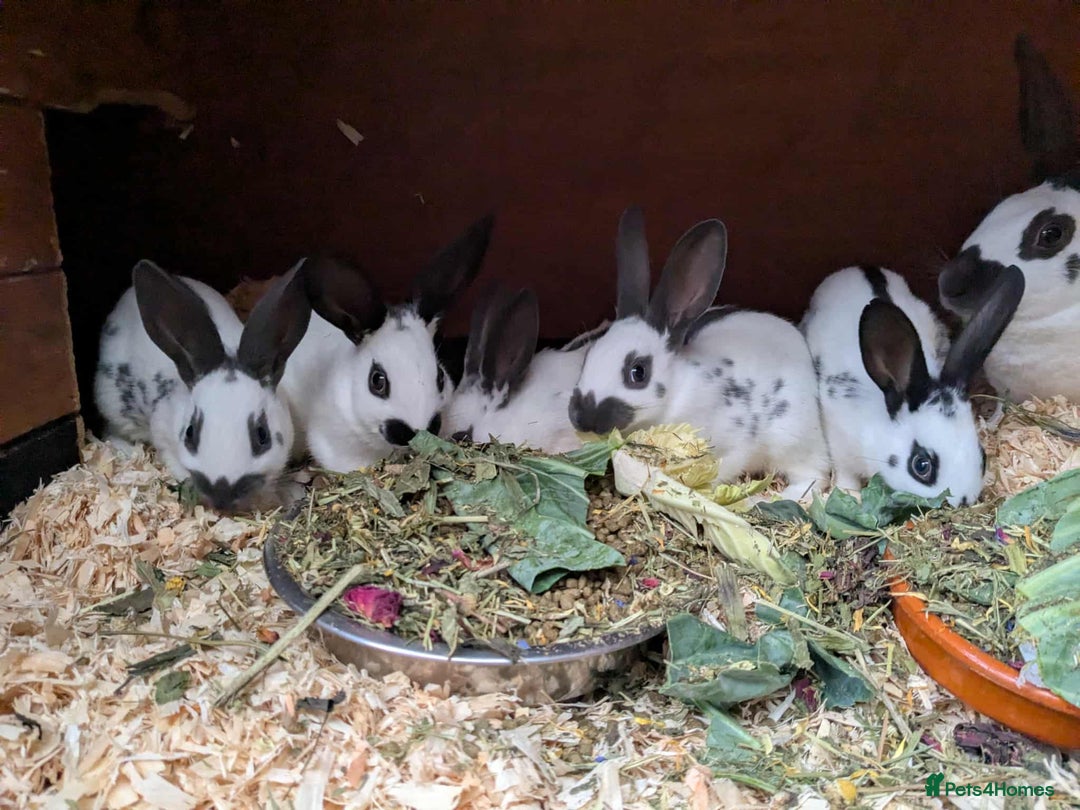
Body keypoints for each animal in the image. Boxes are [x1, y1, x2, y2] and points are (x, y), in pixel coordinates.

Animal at [568, 206, 831, 501]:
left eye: (638, 372)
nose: (583, 419)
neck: (675, 395)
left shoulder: (733, 445)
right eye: (588, 357)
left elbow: (724, 469)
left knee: (813, 477)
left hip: (791, 438)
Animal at [802, 264, 1025, 507]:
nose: (964, 501)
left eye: (983, 456)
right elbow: (845, 474)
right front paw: (849, 494)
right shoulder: (839, 443)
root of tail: (857, 268)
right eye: (921, 465)